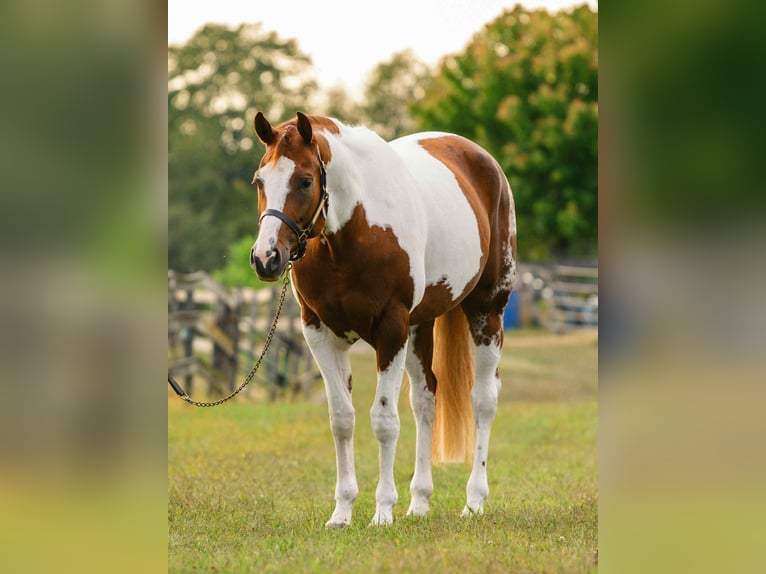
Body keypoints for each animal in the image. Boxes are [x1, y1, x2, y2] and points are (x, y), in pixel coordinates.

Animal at [249, 112, 516, 527]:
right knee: (425, 400)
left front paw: (382, 511)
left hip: (486, 312)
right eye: (259, 180)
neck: (352, 233)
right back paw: (419, 502)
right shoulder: (319, 333)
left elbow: (384, 421)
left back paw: (473, 501)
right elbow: (342, 419)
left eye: (305, 180)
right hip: (420, 327)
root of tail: (482, 159)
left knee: (483, 400)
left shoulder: (391, 330)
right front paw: (342, 512)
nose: (266, 258)